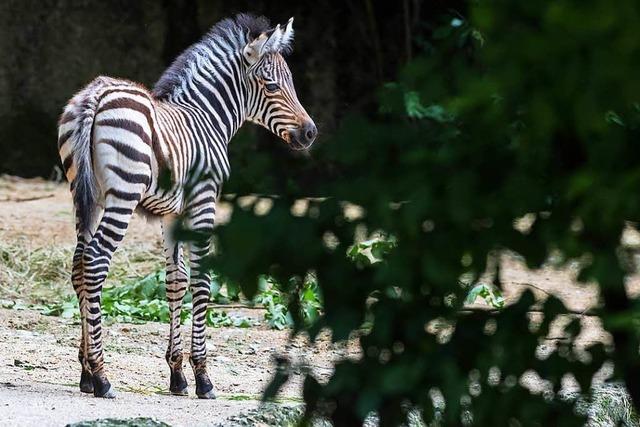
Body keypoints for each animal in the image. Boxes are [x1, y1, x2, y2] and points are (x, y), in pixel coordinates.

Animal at [56, 14, 316, 402]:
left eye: (292, 84)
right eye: (271, 86)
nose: (311, 133)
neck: (206, 118)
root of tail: (95, 95)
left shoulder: (172, 213)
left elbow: (176, 281)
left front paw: (177, 374)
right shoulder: (204, 201)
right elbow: (202, 281)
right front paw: (203, 377)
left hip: (85, 196)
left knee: (79, 265)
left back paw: (86, 373)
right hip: (123, 194)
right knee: (96, 261)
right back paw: (102, 377)